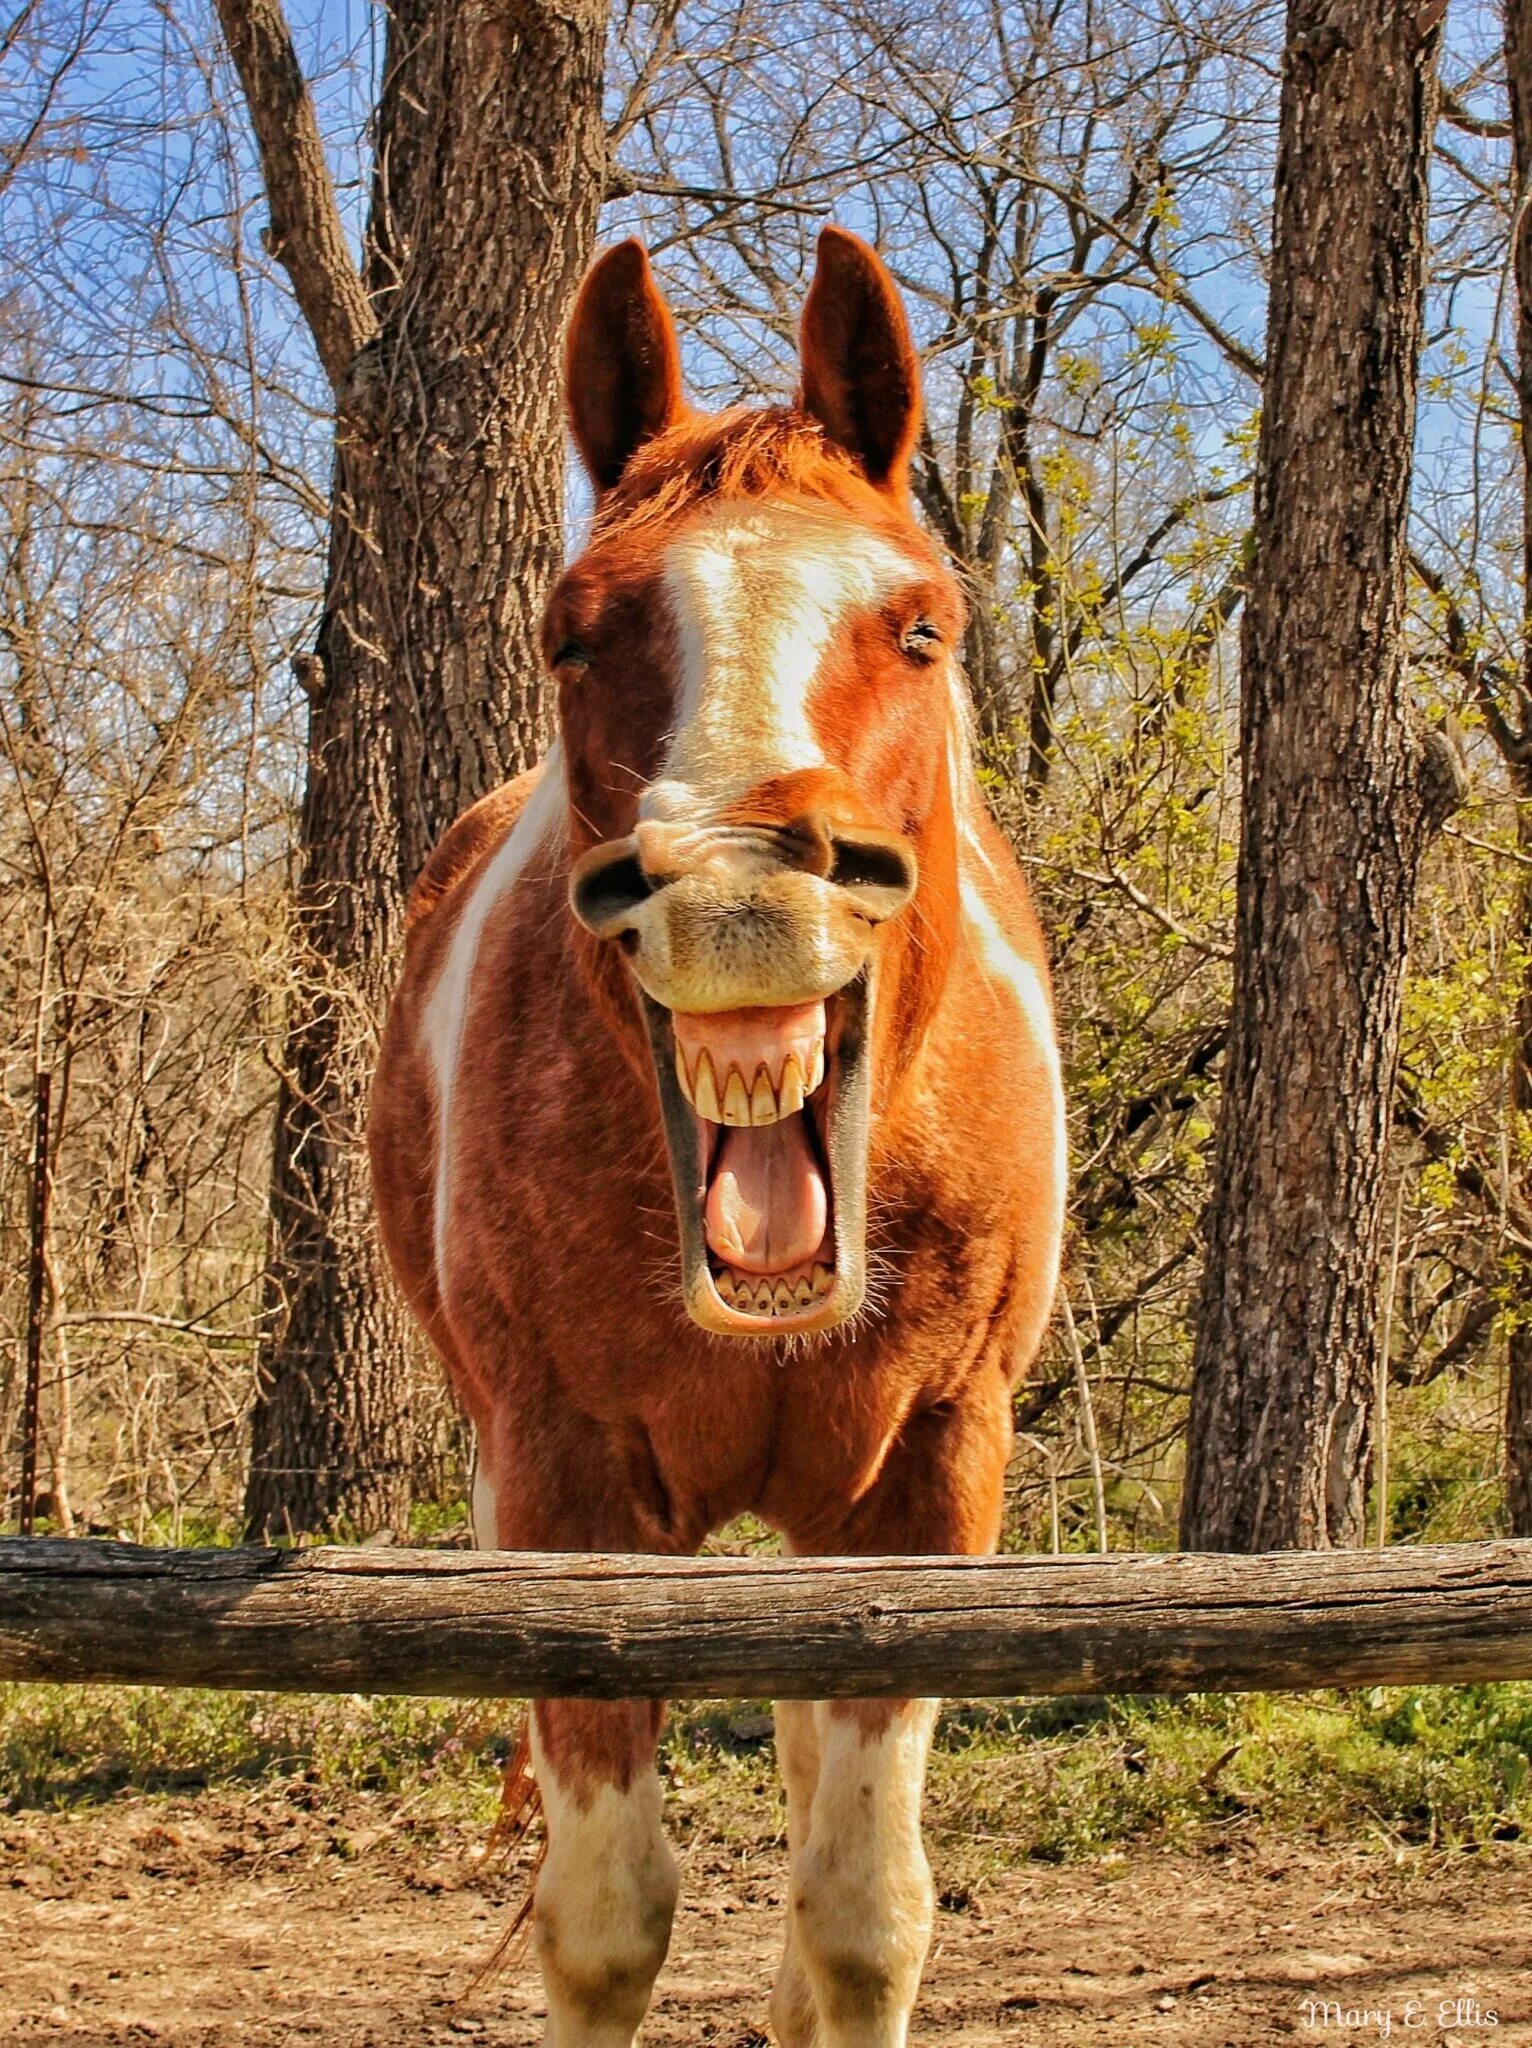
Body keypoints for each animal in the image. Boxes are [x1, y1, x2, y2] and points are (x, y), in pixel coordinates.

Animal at [368, 224, 1065, 2048]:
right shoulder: (556, 1489)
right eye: (571, 635)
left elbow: (866, 1916)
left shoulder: (929, 1483)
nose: (739, 889)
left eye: (920, 625)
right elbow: (606, 1919)